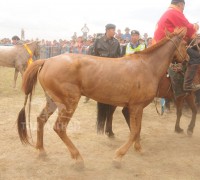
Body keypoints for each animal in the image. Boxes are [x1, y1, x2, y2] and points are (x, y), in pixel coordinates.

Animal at [17, 27, 188, 168]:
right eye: (186, 44)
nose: (186, 60)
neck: (146, 66)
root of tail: (47, 60)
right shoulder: (136, 106)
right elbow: (134, 131)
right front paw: (118, 157)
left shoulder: (138, 107)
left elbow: (137, 129)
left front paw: (139, 148)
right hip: (69, 103)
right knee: (59, 127)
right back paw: (78, 158)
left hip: (53, 101)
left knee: (41, 120)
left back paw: (41, 150)